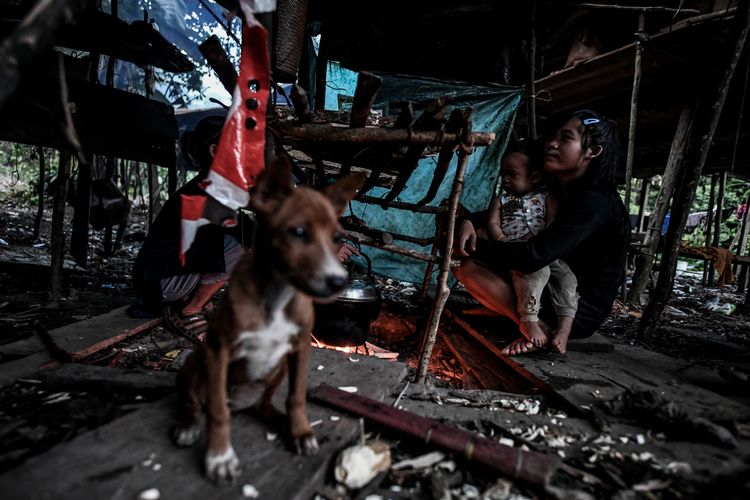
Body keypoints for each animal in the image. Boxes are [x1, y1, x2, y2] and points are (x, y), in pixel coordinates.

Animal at [174, 157, 368, 484]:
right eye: (298, 232)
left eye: (337, 238)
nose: (339, 282)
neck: (277, 296)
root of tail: (242, 404)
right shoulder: (218, 351)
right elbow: (217, 412)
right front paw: (220, 456)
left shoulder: (300, 348)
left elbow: (297, 397)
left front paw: (300, 431)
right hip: (196, 360)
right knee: (194, 400)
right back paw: (188, 425)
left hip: (277, 371)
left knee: (265, 405)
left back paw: (282, 423)